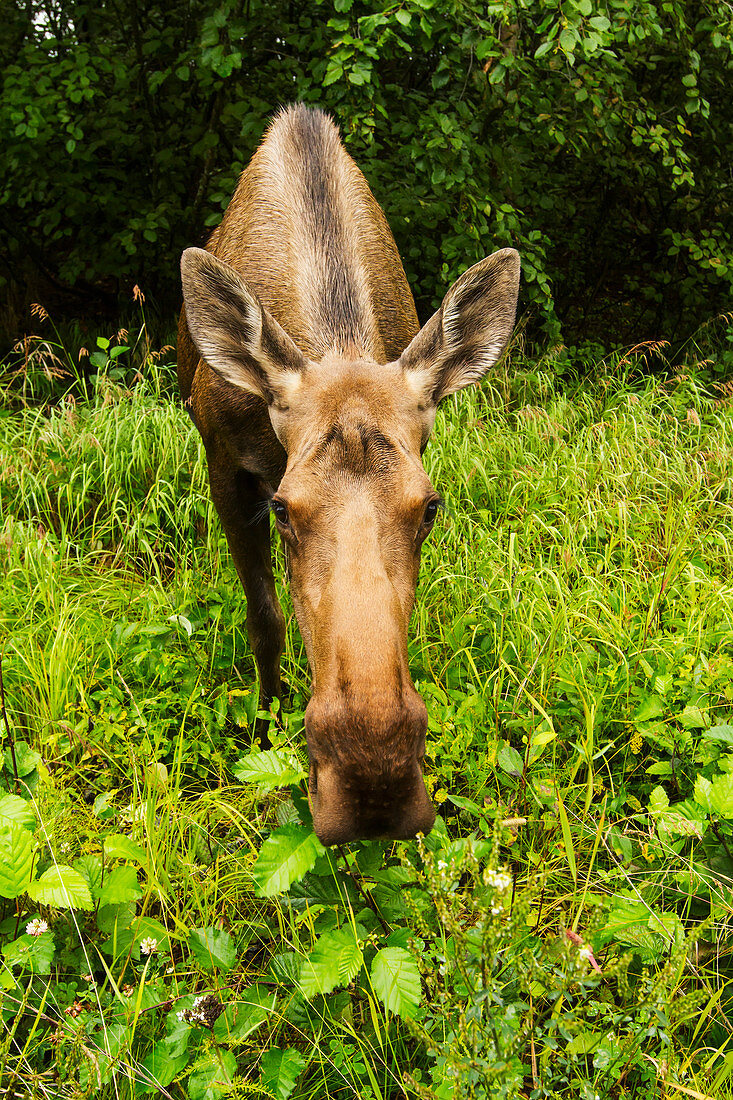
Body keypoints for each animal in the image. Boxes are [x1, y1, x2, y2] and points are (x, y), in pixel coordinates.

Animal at [177, 103, 519, 844]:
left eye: (429, 506)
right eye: (283, 507)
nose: (373, 778)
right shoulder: (225, 464)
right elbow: (265, 617)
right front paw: (265, 725)